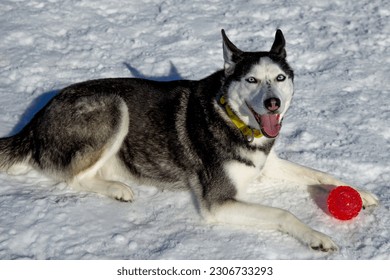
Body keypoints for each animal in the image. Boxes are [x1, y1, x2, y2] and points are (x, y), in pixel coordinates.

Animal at [0, 30, 378, 252]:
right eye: (252, 80)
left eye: (280, 78)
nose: (273, 103)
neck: (233, 118)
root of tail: (35, 120)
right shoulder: (218, 202)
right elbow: (283, 213)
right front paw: (317, 237)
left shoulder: (266, 163)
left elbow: (321, 174)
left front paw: (361, 193)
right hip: (113, 105)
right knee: (73, 176)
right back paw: (117, 189)